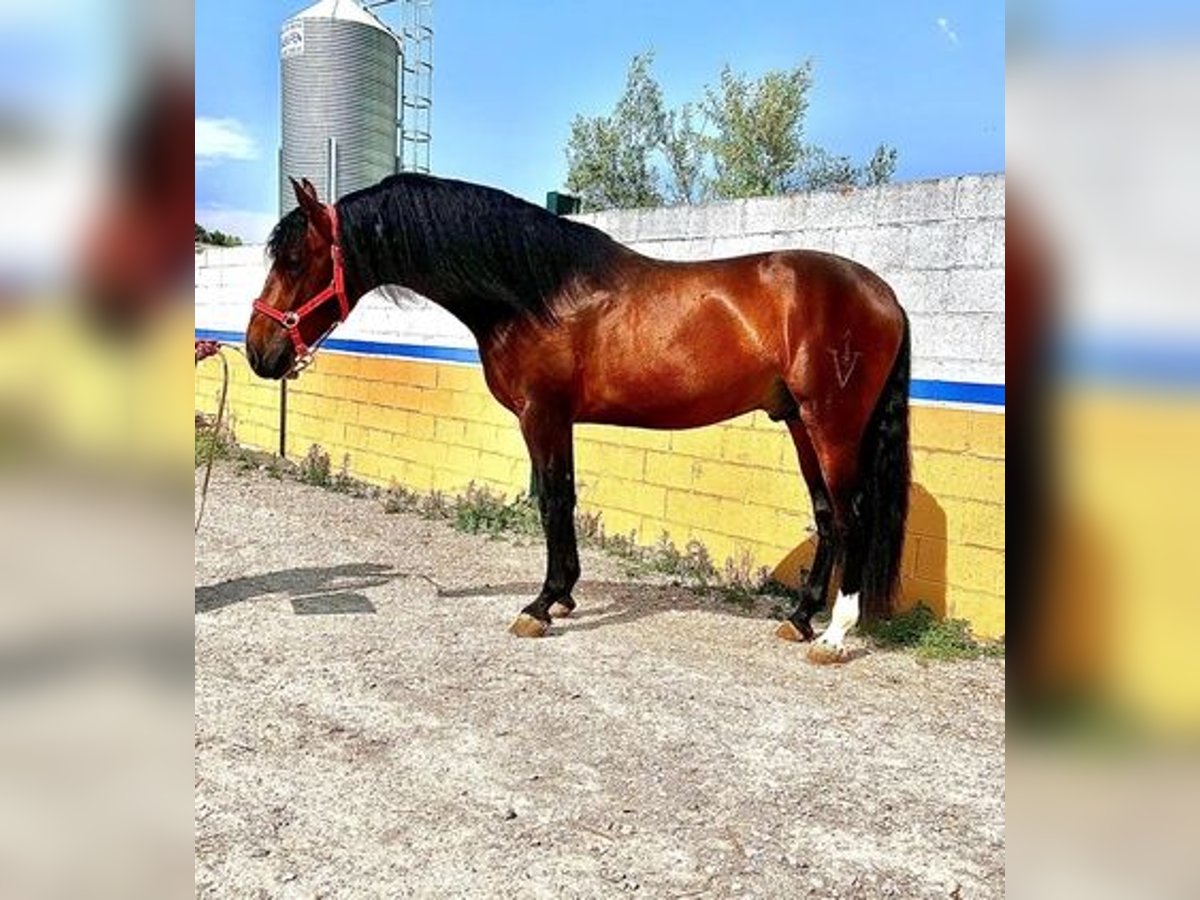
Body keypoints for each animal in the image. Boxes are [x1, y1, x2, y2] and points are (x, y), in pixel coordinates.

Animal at [246, 176, 907, 667]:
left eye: (297, 259)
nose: (258, 353)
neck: (532, 293)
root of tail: (885, 295)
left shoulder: (543, 414)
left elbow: (554, 500)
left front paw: (541, 605)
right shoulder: (554, 418)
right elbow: (560, 500)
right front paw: (561, 597)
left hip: (831, 424)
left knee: (853, 515)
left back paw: (834, 635)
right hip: (799, 423)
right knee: (827, 515)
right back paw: (799, 619)